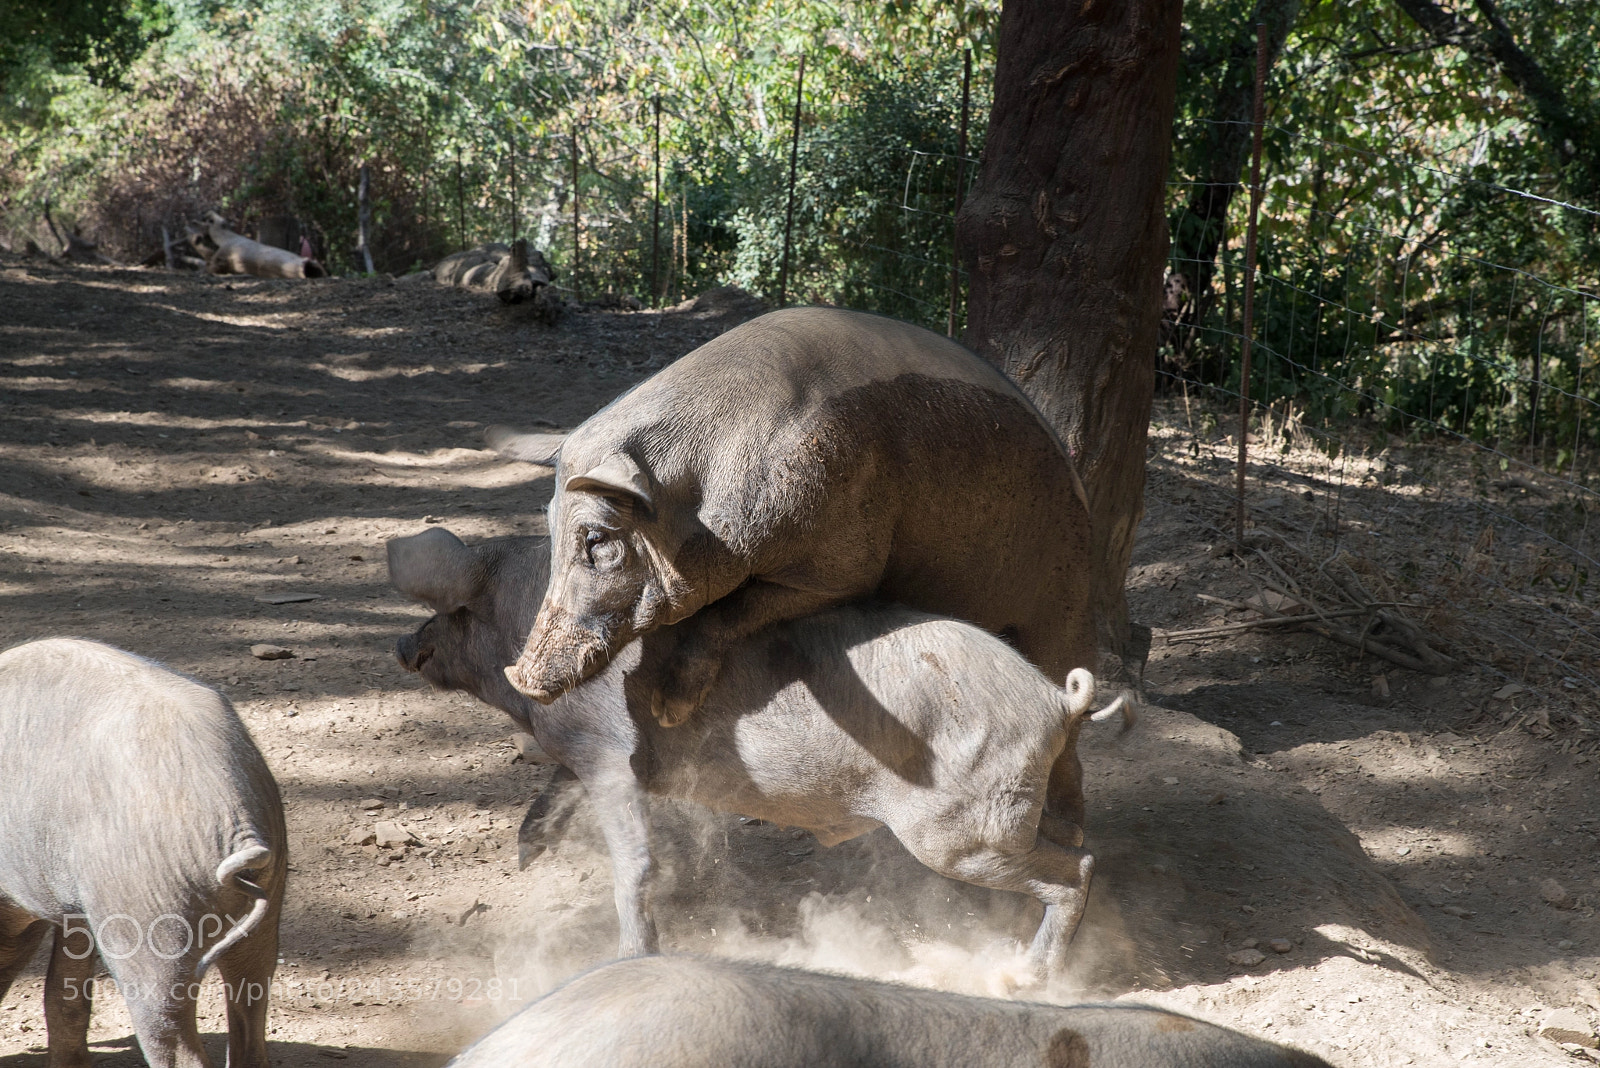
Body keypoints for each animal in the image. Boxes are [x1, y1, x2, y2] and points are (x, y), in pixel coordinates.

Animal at [0, 638, 287, 1068]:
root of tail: (237, 821)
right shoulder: (76, 909)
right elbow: (64, 995)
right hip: (267, 905)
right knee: (250, 1012)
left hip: (151, 926)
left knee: (173, 1039)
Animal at [390, 528, 1129, 978]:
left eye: (456, 612)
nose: (400, 644)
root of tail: (1056, 701)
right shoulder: (588, 758)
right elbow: (558, 789)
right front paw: (526, 854)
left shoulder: (608, 751)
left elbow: (633, 865)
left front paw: (627, 959)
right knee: (1079, 845)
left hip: (961, 833)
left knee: (1079, 869)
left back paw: (1026, 977)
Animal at [494, 305, 1095, 727]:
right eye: (549, 527)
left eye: (597, 540)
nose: (520, 679)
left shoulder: (842, 568)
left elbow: (724, 616)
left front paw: (669, 714)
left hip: (1061, 599)